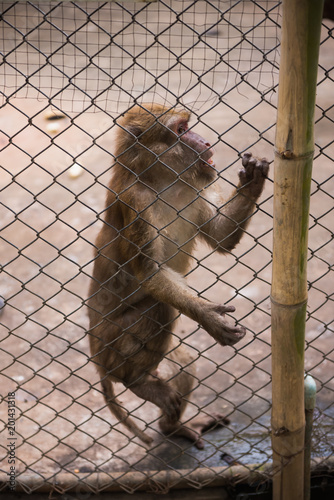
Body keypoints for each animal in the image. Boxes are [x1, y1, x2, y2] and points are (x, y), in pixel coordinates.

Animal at [87, 103, 268, 448]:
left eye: (189, 126)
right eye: (181, 130)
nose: (205, 140)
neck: (161, 181)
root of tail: (96, 355)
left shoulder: (197, 187)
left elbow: (220, 237)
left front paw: (252, 181)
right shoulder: (136, 203)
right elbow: (150, 273)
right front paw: (208, 317)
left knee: (183, 361)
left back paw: (171, 426)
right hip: (113, 346)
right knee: (160, 308)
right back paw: (138, 382)